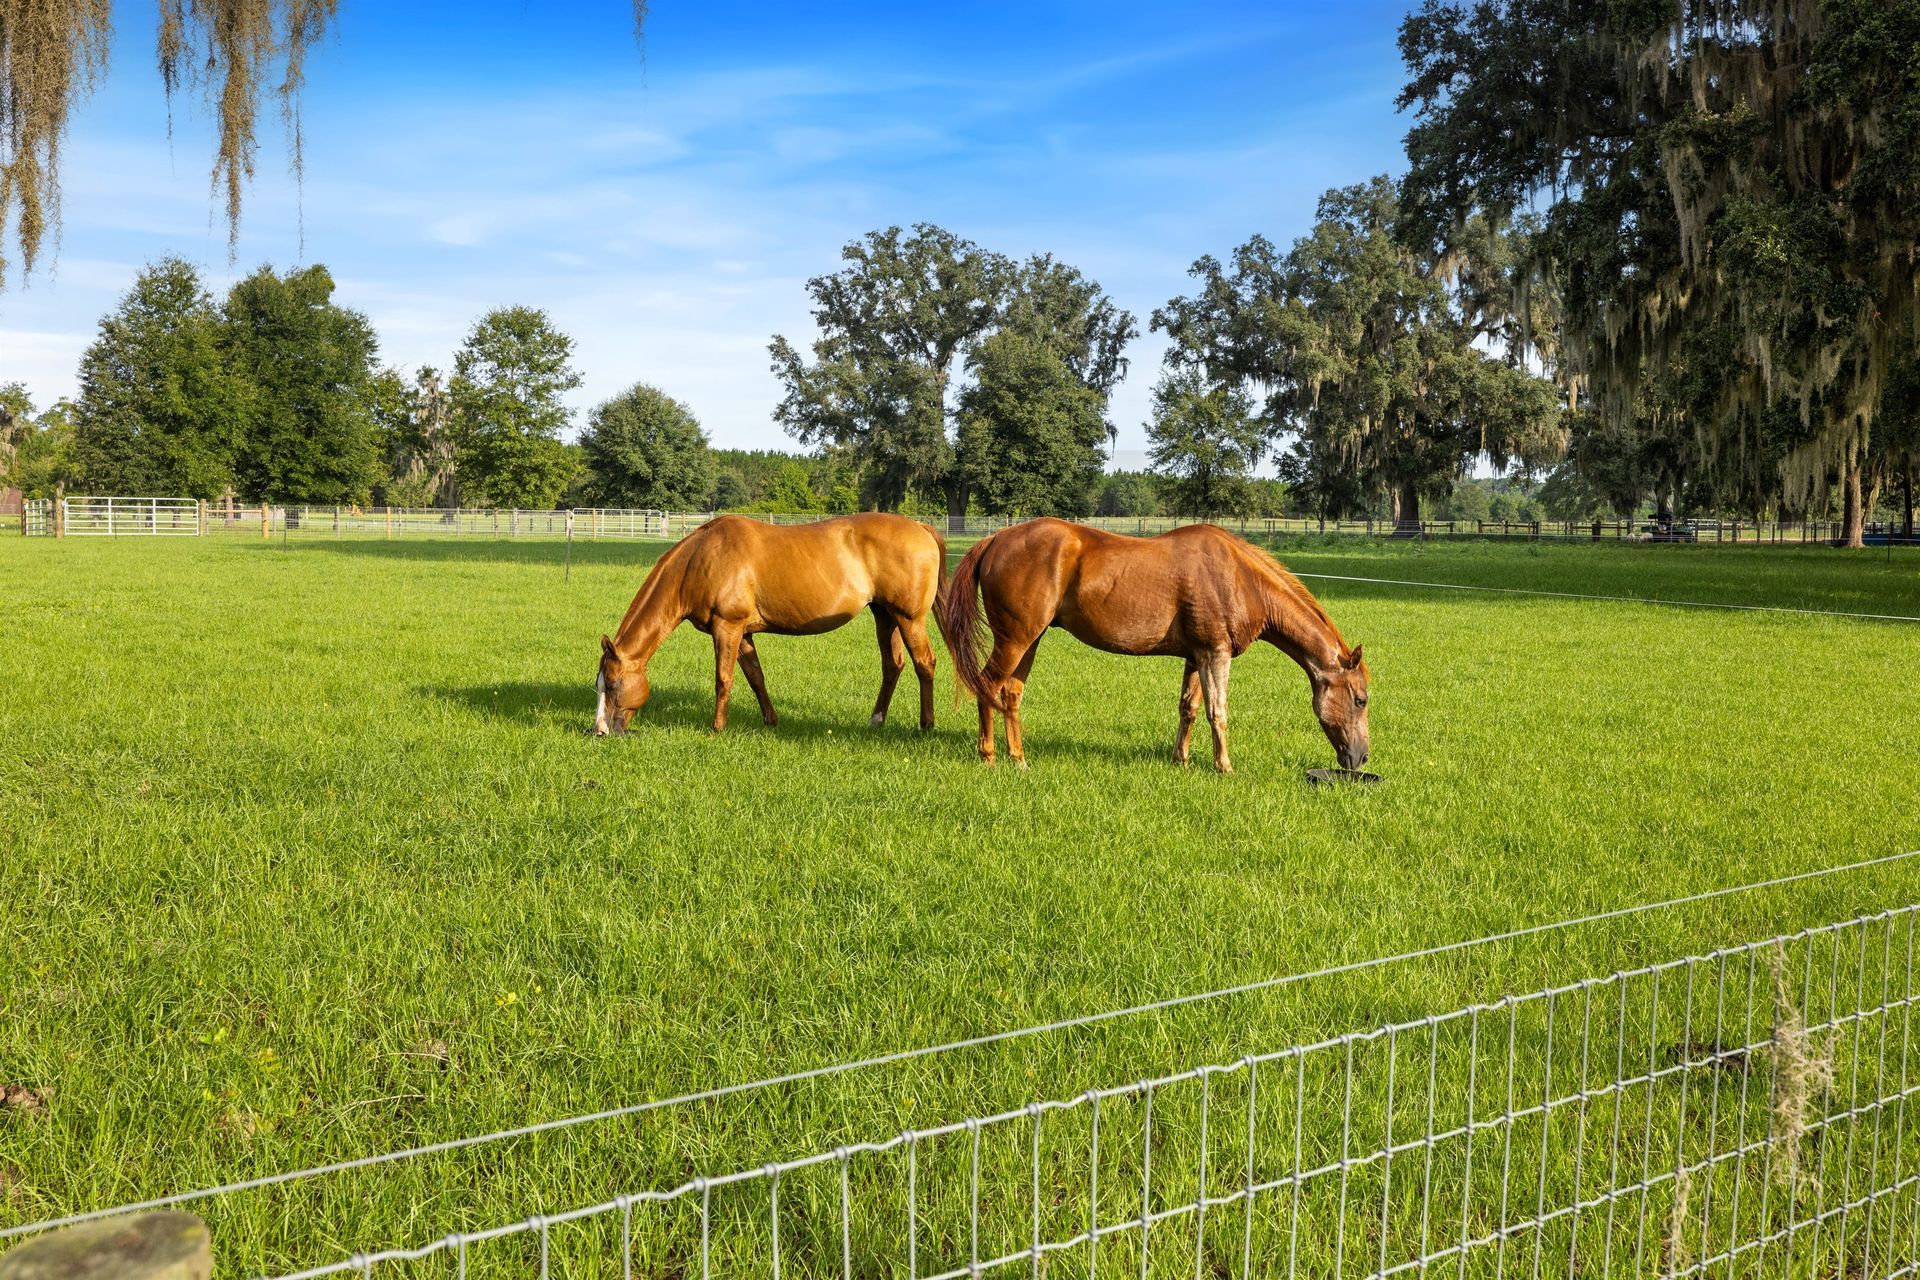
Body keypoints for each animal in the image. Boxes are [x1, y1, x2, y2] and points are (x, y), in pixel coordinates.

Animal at [593, 513, 946, 736]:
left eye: (611, 683)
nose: (599, 731)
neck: (701, 558)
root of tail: (919, 526)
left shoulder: (727, 628)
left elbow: (723, 679)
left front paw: (716, 727)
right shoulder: (744, 634)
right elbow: (755, 677)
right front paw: (770, 720)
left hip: (909, 619)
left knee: (924, 664)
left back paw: (926, 724)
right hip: (884, 616)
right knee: (893, 666)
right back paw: (876, 721)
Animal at [936, 518, 1369, 772]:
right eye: (1361, 699)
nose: (1361, 759)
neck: (1240, 578)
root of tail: (996, 538)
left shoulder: (1197, 656)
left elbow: (1189, 708)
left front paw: (1181, 759)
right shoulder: (1216, 654)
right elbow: (1218, 712)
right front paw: (1224, 766)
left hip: (1030, 640)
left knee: (1010, 693)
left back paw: (1019, 759)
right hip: (1016, 640)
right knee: (987, 687)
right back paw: (989, 756)